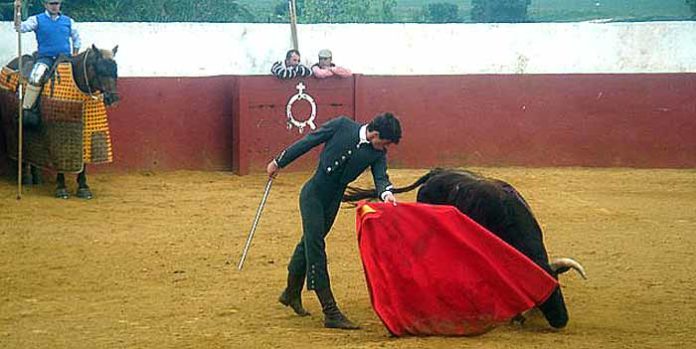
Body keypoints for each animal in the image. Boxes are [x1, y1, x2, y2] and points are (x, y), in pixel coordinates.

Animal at [4, 44, 119, 198]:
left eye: (115, 70)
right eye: (99, 69)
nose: (113, 98)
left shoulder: (86, 131)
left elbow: (83, 159)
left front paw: (83, 187)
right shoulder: (57, 132)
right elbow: (59, 157)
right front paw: (61, 187)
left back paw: (36, 177)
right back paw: (25, 178)